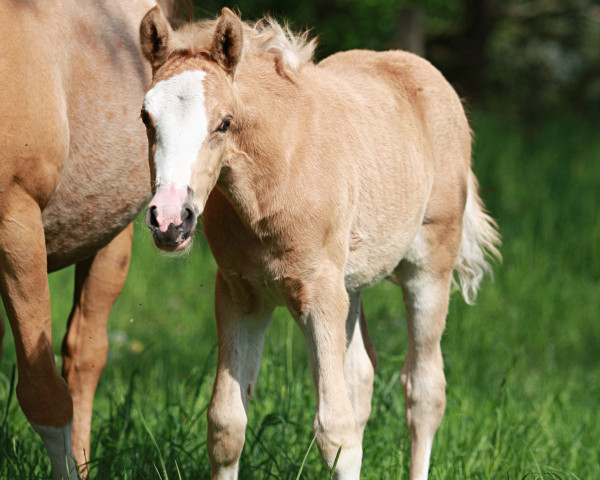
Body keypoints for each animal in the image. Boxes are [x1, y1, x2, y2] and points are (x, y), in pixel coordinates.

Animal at [141, 7, 502, 480]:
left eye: (224, 123)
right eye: (146, 117)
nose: (169, 221)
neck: (277, 175)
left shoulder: (319, 295)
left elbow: (335, 432)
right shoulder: (240, 295)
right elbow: (226, 424)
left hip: (428, 270)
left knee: (424, 392)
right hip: (351, 285)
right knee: (361, 377)